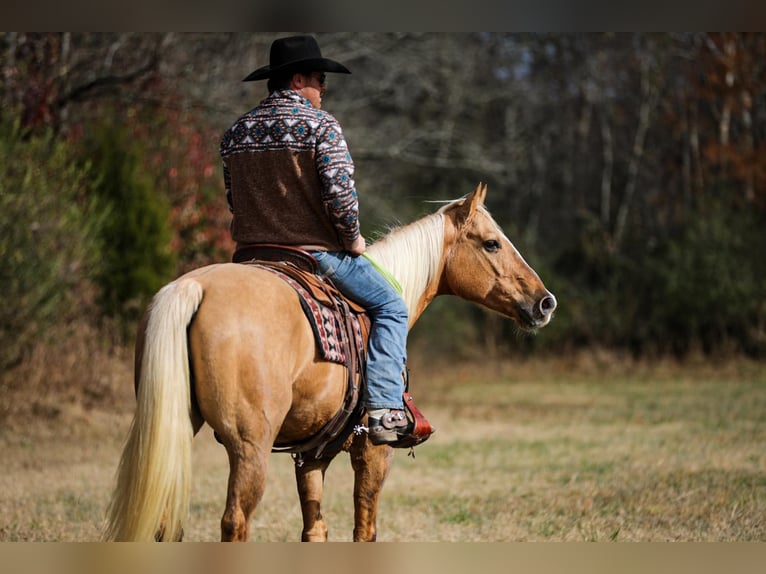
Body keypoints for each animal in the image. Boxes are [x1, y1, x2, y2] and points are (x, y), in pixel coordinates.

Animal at [102, 182, 560, 544]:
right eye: (491, 243)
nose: (545, 302)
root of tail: (194, 287)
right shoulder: (374, 450)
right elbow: (364, 529)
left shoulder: (311, 455)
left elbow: (315, 528)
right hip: (249, 447)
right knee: (234, 522)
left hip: (176, 425)